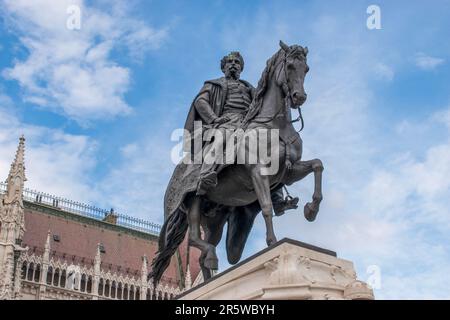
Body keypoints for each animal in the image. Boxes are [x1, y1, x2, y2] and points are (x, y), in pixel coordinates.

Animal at [150, 42, 324, 284]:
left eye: (306, 69)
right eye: (289, 65)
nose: (299, 96)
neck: (275, 126)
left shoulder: (289, 172)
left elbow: (317, 165)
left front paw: (311, 210)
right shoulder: (258, 172)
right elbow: (266, 207)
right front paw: (273, 243)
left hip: (215, 219)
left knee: (203, 252)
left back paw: (209, 273)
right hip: (193, 201)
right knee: (193, 238)